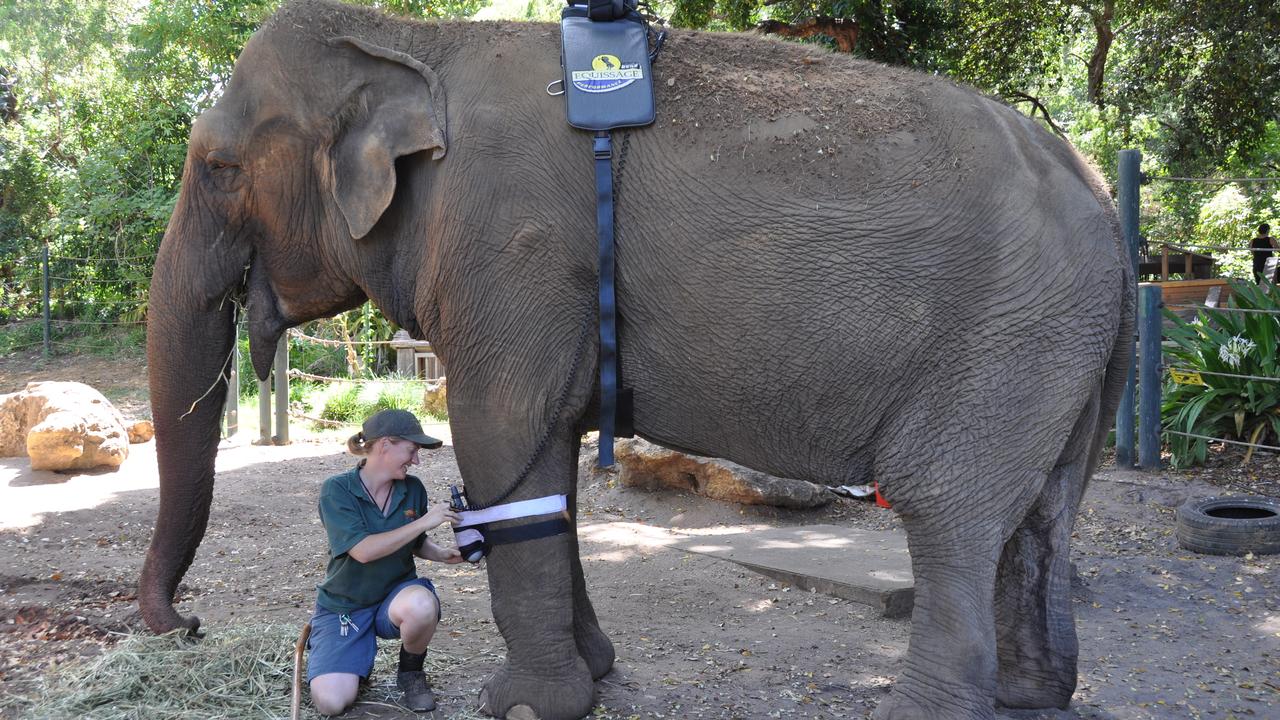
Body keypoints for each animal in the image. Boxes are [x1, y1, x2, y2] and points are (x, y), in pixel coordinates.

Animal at [140, 1, 1136, 717]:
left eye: (220, 168)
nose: (186, 624)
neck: (413, 38)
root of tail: (1103, 201)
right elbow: (550, 473)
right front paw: (598, 678)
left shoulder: (513, 253)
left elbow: (500, 440)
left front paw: (526, 706)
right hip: (1060, 355)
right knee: (1044, 514)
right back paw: (1032, 698)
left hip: (1005, 340)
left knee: (950, 513)